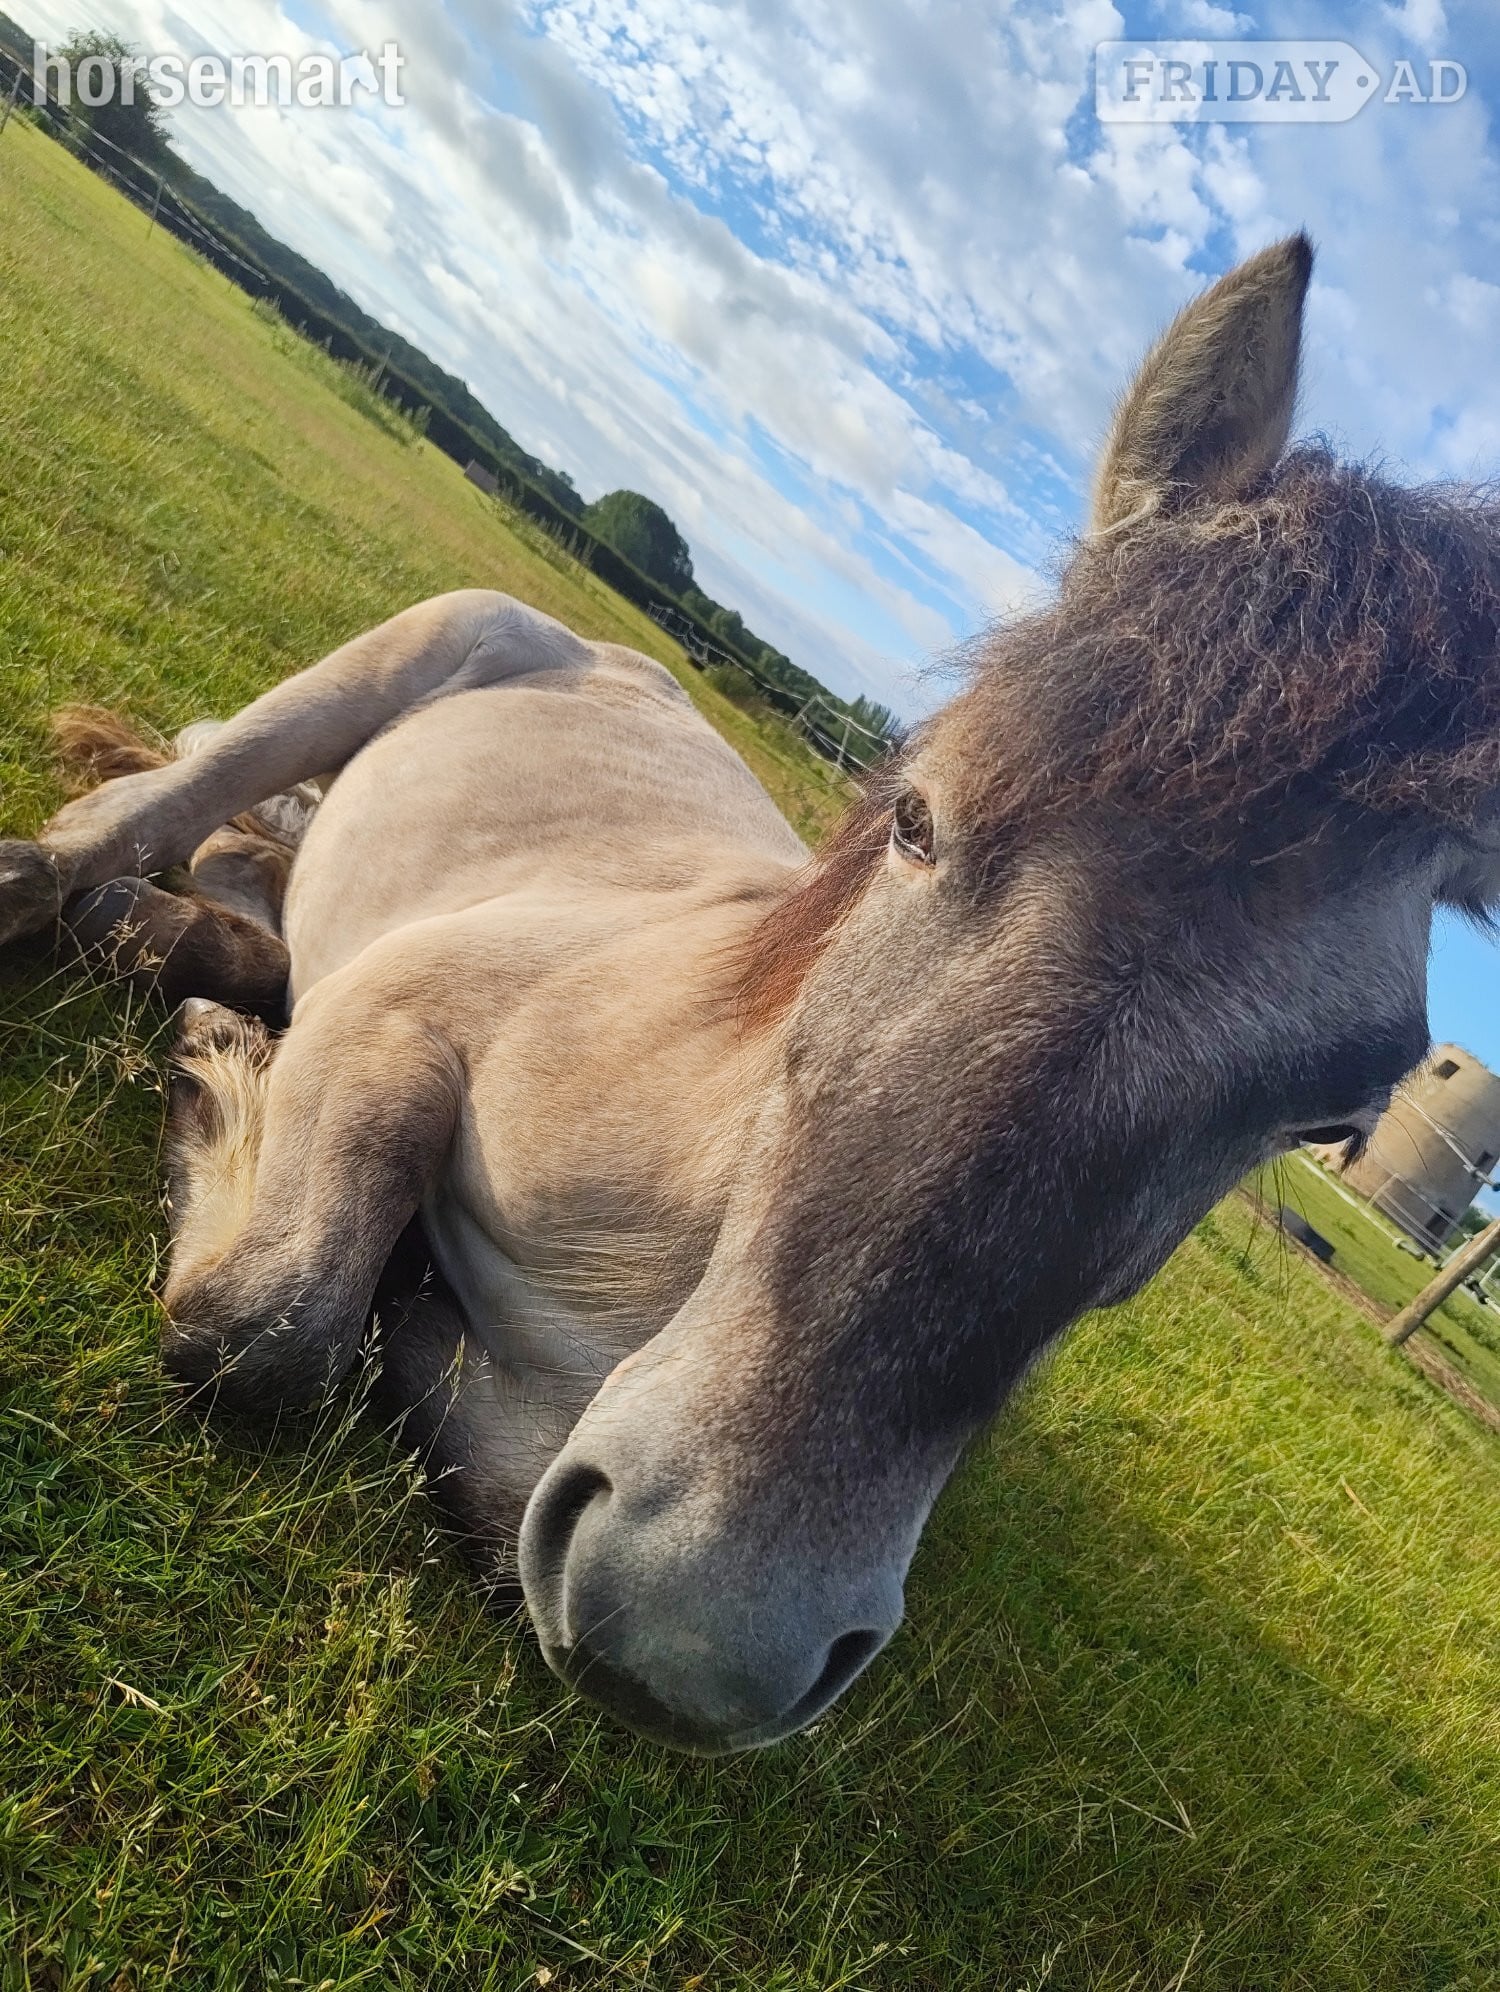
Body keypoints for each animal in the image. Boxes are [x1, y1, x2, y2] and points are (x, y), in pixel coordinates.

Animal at [4, 235, 1499, 1754]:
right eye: (915, 820)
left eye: (1336, 1112)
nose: (699, 1628)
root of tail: (613, 650)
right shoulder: (404, 1013)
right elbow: (269, 1327)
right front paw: (228, 1084)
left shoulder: (545, 1459)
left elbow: (454, 1440)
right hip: (401, 653)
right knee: (151, 815)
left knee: (239, 864)